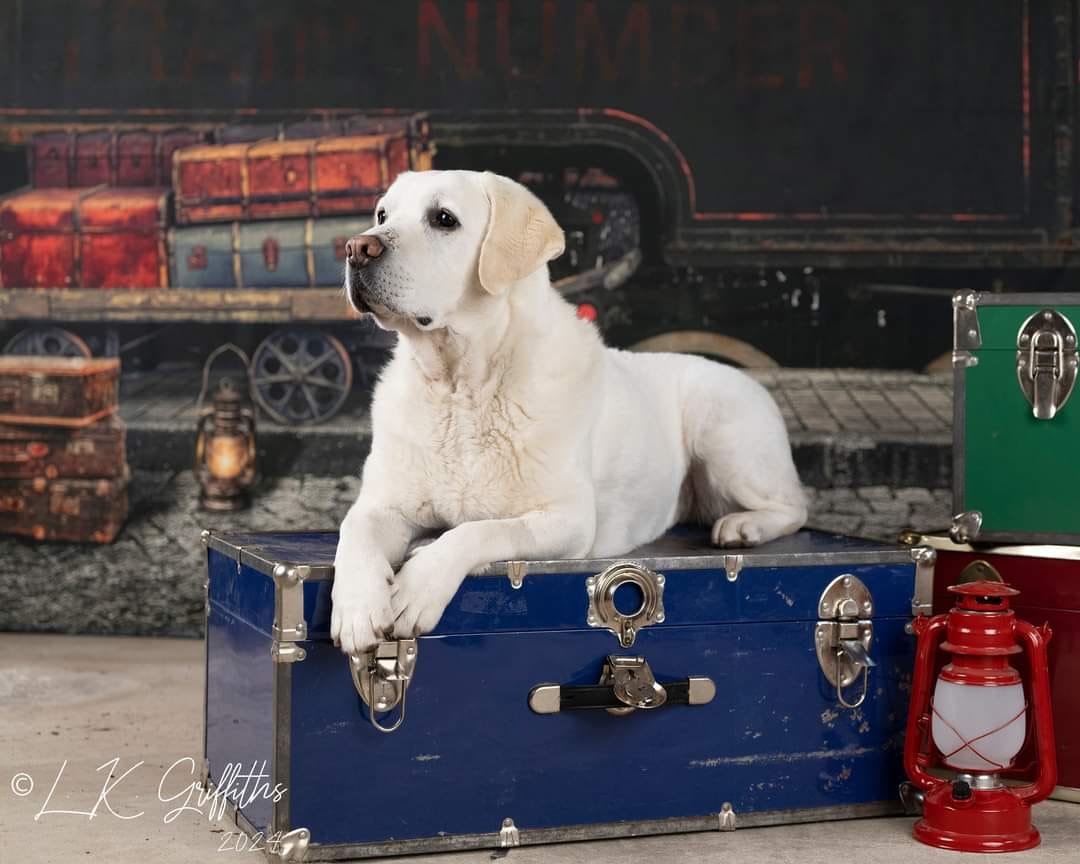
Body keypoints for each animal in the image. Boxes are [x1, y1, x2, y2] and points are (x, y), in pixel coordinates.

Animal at [332, 170, 807, 656]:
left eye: (443, 219)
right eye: (382, 215)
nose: (356, 247)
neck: (461, 388)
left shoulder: (568, 520)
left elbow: (480, 531)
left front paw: (418, 585)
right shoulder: (383, 504)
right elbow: (353, 530)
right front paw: (357, 607)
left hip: (722, 437)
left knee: (796, 505)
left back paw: (744, 526)